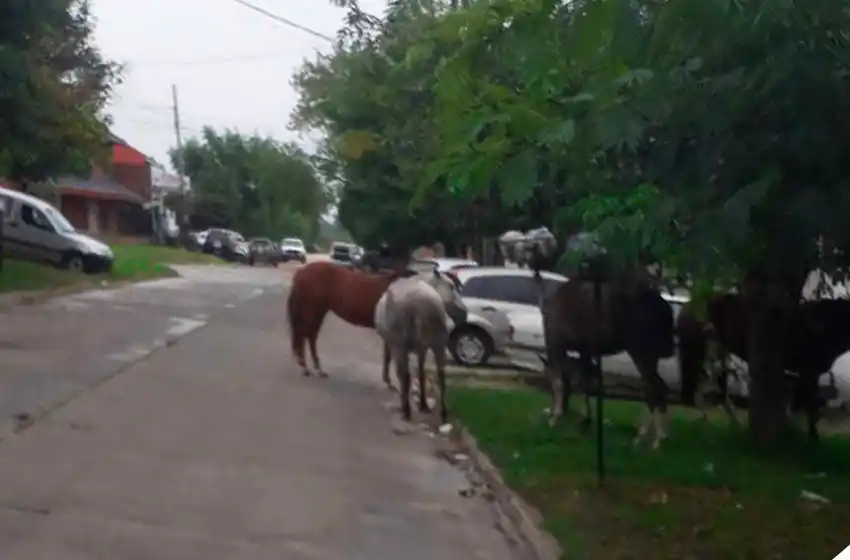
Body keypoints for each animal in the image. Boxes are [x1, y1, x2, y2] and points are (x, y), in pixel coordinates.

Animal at [374, 268, 468, 423]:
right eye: (451, 286)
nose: (464, 314)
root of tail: (418, 303)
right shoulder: (422, 348)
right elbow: (421, 373)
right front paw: (423, 404)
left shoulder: (398, 345)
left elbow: (404, 372)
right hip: (438, 342)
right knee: (441, 374)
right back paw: (443, 412)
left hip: (401, 344)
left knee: (405, 375)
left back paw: (406, 410)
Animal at [542, 272, 676, 449]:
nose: (555, 410)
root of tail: (665, 307)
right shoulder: (585, 350)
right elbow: (584, 383)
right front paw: (585, 421)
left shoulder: (557, 345)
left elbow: (560, 382)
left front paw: (555, 418)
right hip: (651, 356)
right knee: (659, 387)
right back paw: (655, 436)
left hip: (641, 353)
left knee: (653, 388)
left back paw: (651, 438)